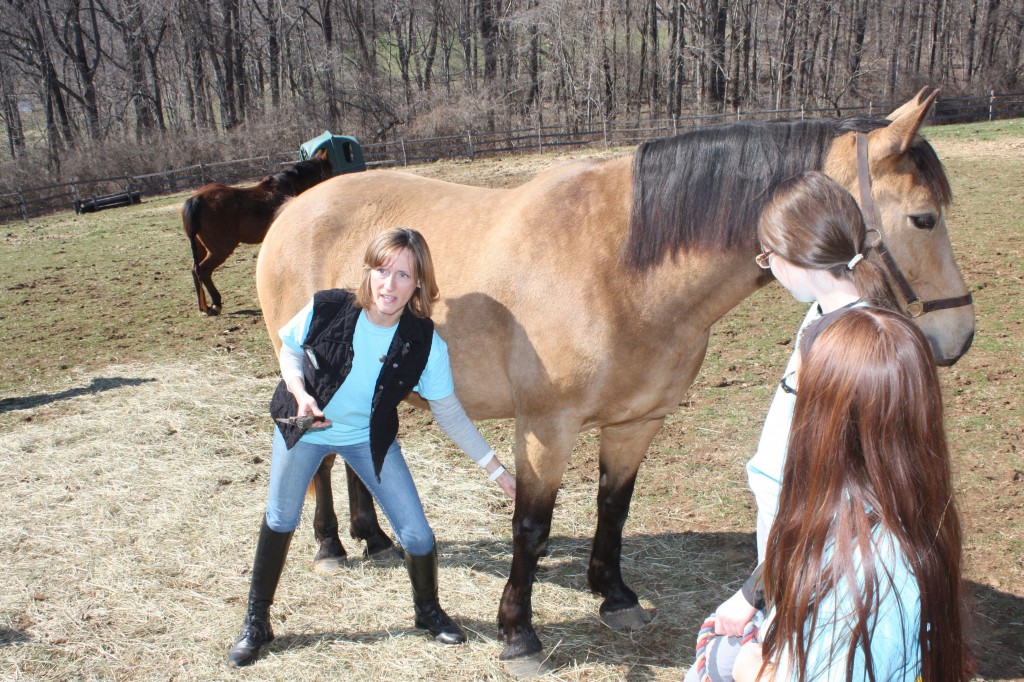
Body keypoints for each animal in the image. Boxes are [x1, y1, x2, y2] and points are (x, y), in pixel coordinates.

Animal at [180, 148, 329, 313]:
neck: (290, 186)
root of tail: (195, 199)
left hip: (201, 248)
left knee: (195, 270)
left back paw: (204, 306)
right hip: (219, 251)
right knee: (204, 271)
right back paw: (216, 303)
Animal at [251, 87, 970, 671]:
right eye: (924, 218)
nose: (957, 336)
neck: (622, 268)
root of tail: (295, 209)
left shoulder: (636, 422)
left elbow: (613, 507)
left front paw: (614, 593)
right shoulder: (546, 428)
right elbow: (531, 527)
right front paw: (519, 633)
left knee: (356, 450)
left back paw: (374, 538)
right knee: (319, 459)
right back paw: (331, 545)